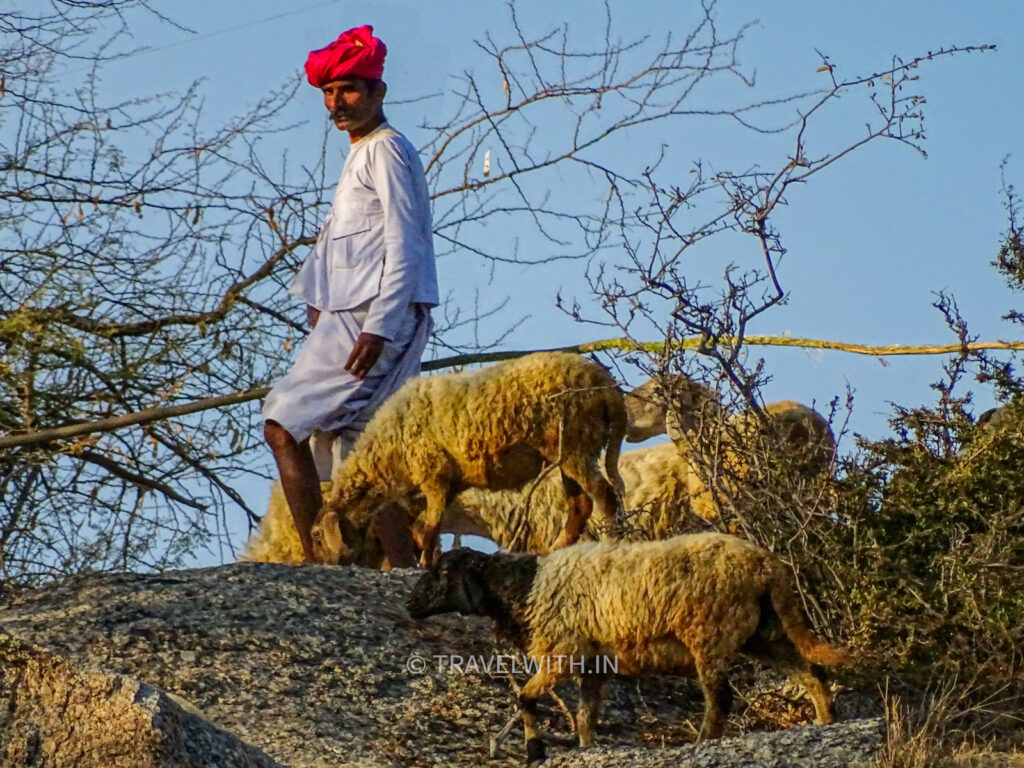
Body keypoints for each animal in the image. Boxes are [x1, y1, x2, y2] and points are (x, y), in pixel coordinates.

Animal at [307, 352, 626, 569]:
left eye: (317, 535)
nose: (327, 565)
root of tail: (606, 386)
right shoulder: (448, 485)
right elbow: (424, 528)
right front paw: (431, 559)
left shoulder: (433, 476)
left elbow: (429, 529)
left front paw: (427, 563)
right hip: (567, 451)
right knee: (580, 506)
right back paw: (552, 552)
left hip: (576, 443)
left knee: (605, 496)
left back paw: (611, 543)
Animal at [407, 536, 847, 765]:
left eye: (442, 572)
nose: (411, 605)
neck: (524, 587)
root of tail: (767, 566)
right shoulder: (592, 665)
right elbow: (585, 717)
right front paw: (584, 749)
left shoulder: (563, 652)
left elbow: (525, 698)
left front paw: (535, 750)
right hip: (764, 632)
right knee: (810, 672)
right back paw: (826, 721)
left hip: (710, 632)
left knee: (720, 698)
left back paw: (703, 741)